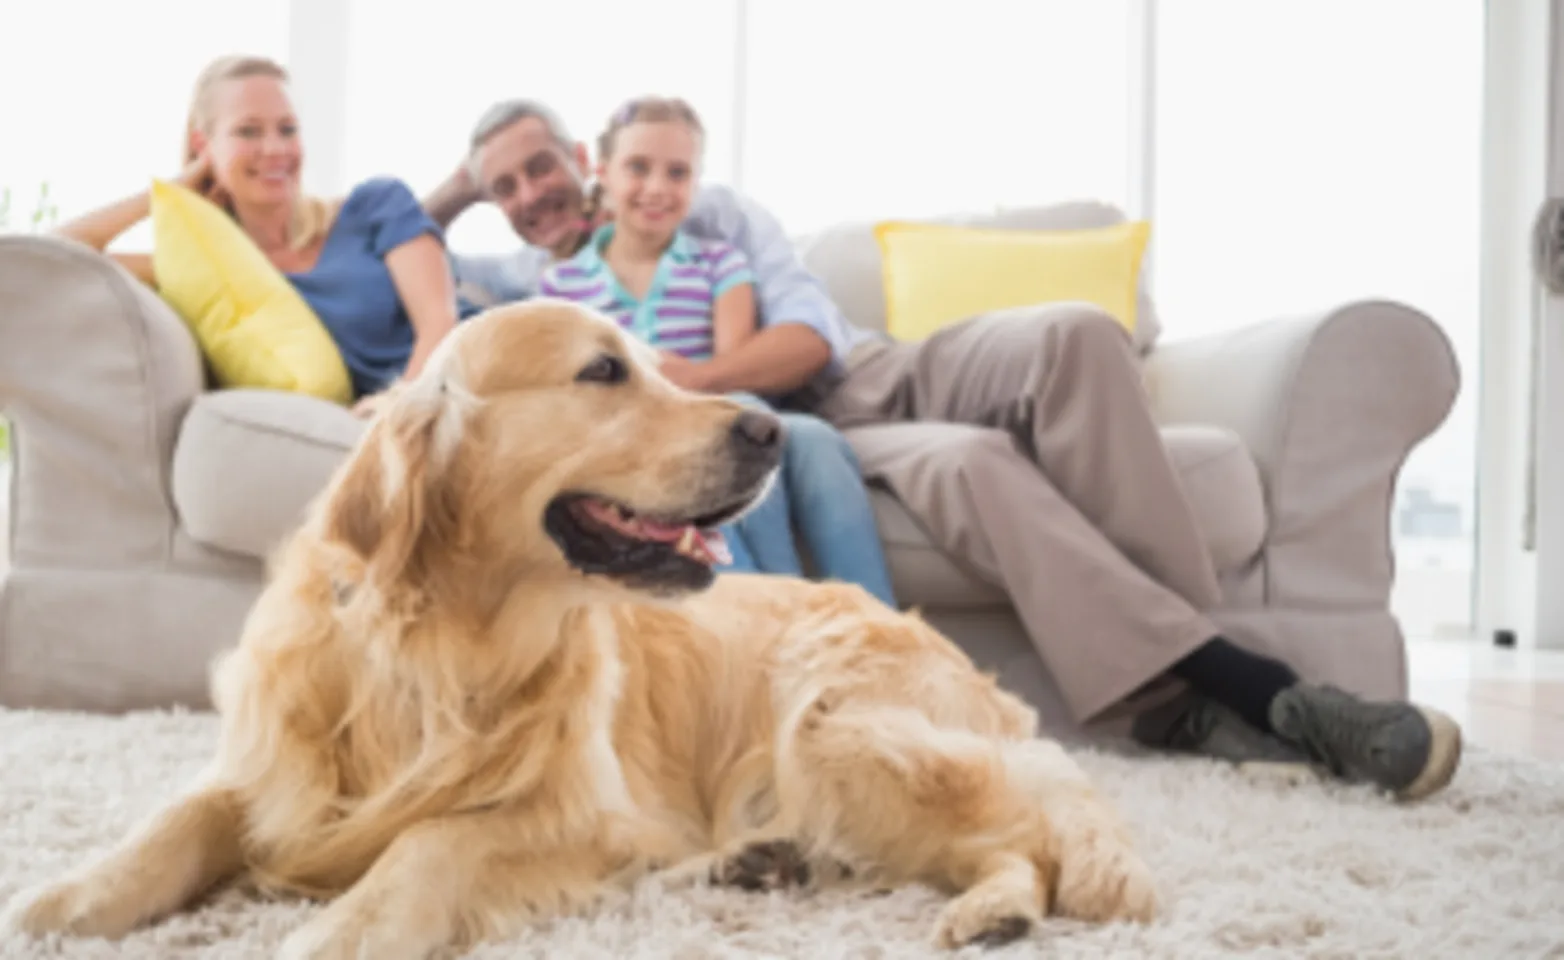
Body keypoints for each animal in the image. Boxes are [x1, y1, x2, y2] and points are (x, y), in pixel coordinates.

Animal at [0, 298, 1151, 956]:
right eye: (602, 372)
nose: (770, 430)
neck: (442, 642)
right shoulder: (267, 766)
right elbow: (170, 826)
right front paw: (57, 904)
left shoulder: (575, 810)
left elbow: (428, 839)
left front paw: (343, 930)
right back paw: (754, 861)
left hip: (837, 725)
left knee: (1026, 840)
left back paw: (996, 908)